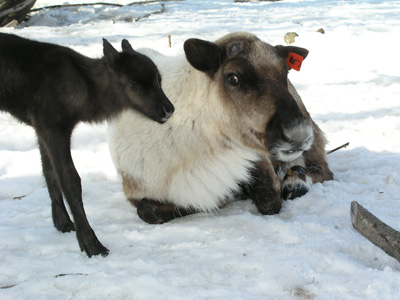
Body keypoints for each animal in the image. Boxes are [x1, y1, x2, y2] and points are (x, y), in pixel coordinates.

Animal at [0, 33, 175, 258]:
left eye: (158, 80)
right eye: (133, 82)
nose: (168, 110)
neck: (87, 90)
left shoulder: (41, 129)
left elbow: (49, 174)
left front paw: (63, 223)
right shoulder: (53, 127)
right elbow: (70, 181)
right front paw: (91, 244)